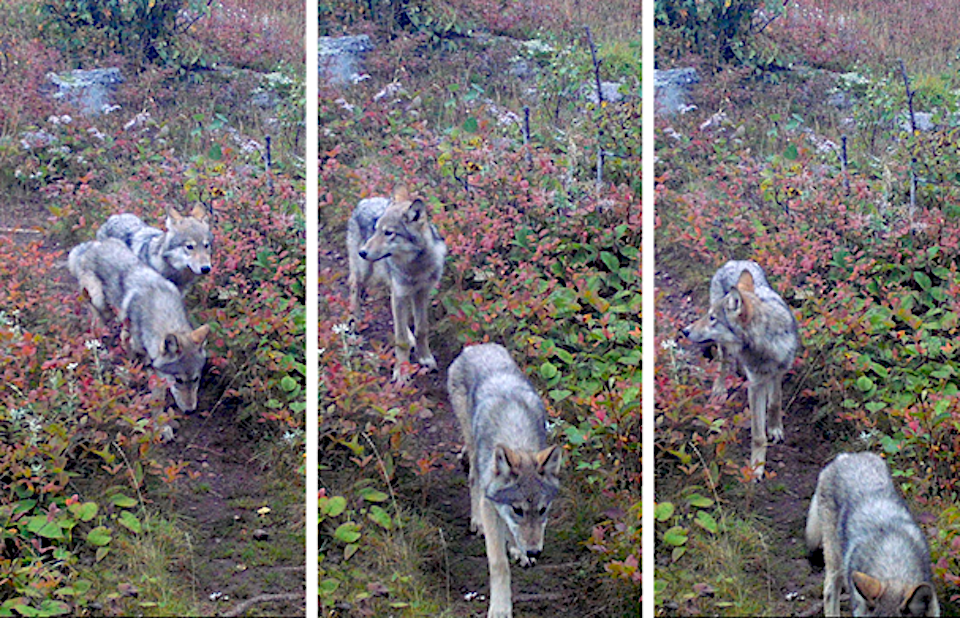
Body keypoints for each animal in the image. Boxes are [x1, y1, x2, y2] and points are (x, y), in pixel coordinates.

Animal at [68, 238, 210, 412]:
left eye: (196, 379)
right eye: (178, 380)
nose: (190, 411)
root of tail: (90, 245)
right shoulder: (130, 341)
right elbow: (135, 366)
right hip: (99, 302)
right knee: (97, 324)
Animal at [346, 185, 446, 382]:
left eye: (388, 233)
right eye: (376, 230)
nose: (363, 252)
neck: (416, 266)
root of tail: (366, 200)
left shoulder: (421, 293)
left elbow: (421, 329)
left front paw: (425, 357)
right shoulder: (401, 293)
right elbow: (400, 339)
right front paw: (402, 371)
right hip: (364, 273)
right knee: (354, 287)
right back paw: (355, 321)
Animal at [447, 343, 563, 618]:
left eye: (543, 509)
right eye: (517, 509)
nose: (534, 551)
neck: (515, 434)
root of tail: (476, 346)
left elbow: (513, 532)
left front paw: (519, 551)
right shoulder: (492, 505)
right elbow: (499, 564)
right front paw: (500, 608)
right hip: (472, 446)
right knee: (473, 480)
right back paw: (476, 521)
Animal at [682, 260, 798, 478]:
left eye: (713, 318)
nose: (684, 331)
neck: (765, 345)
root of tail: (734, 262)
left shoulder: (779, 371)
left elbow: (775, 402)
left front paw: (775, 428)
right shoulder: (756, 386)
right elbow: (758, 436)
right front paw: (756, 468)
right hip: (723, 346)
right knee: (723, 362)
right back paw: (720, 388)